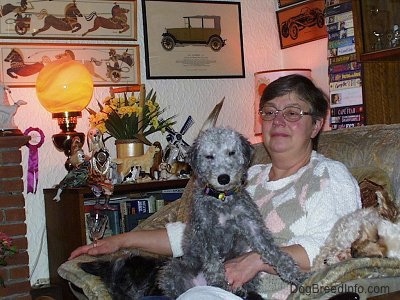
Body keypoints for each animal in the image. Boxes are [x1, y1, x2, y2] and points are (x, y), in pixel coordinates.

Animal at [158, 126, 308, 298]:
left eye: (231, 152)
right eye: (209, 156)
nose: (223, 178)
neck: (222, 199)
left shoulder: (251, 224)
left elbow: (273, 251)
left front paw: (296, 275)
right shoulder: (206, 232)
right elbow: (213, 263)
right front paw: (218, 283)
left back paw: (239, 291)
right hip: (174, 269)